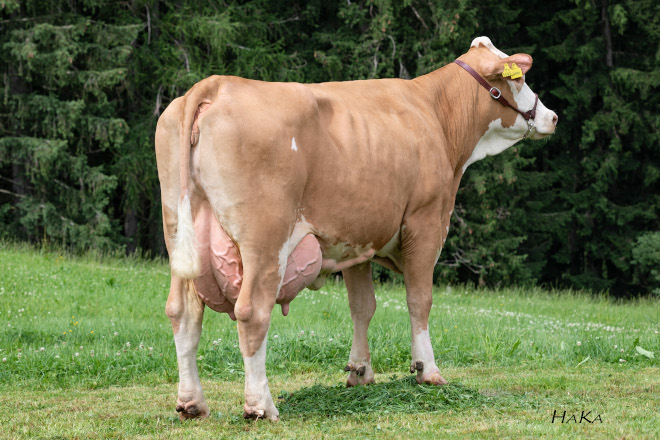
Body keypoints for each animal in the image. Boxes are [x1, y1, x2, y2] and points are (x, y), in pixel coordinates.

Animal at [155, 36, 558, 421]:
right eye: (518, 79)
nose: (552, 117)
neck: (435, 114)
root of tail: (217, 84)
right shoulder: (426, 222)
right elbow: (419, 300)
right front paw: (427, 371)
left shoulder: (356, 241)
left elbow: (362, 306)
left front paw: (360, 372)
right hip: (265, 241)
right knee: (252, 312)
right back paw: (261, 407)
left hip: (179, 236)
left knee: (182, 313)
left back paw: (191, 403)